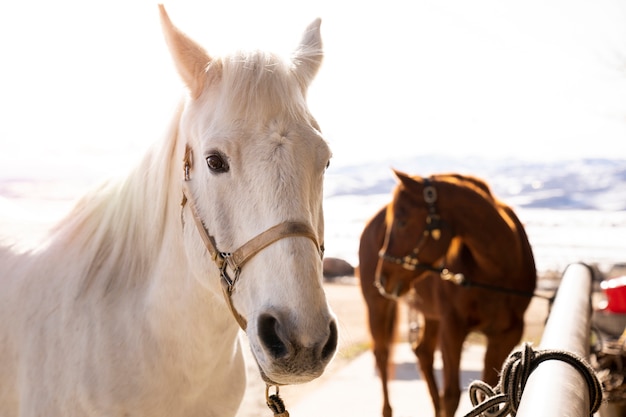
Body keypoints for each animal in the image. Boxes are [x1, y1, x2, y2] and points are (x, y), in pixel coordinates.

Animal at [358, 170, 532, 416]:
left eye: (402, 222)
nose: (382, 277)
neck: (498, 271)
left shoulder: (507, 335)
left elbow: (489, 394)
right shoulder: (452, 328)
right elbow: (450, 395)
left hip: (430, 315)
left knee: (423, 353)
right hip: (378, 306)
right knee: (382, 355)